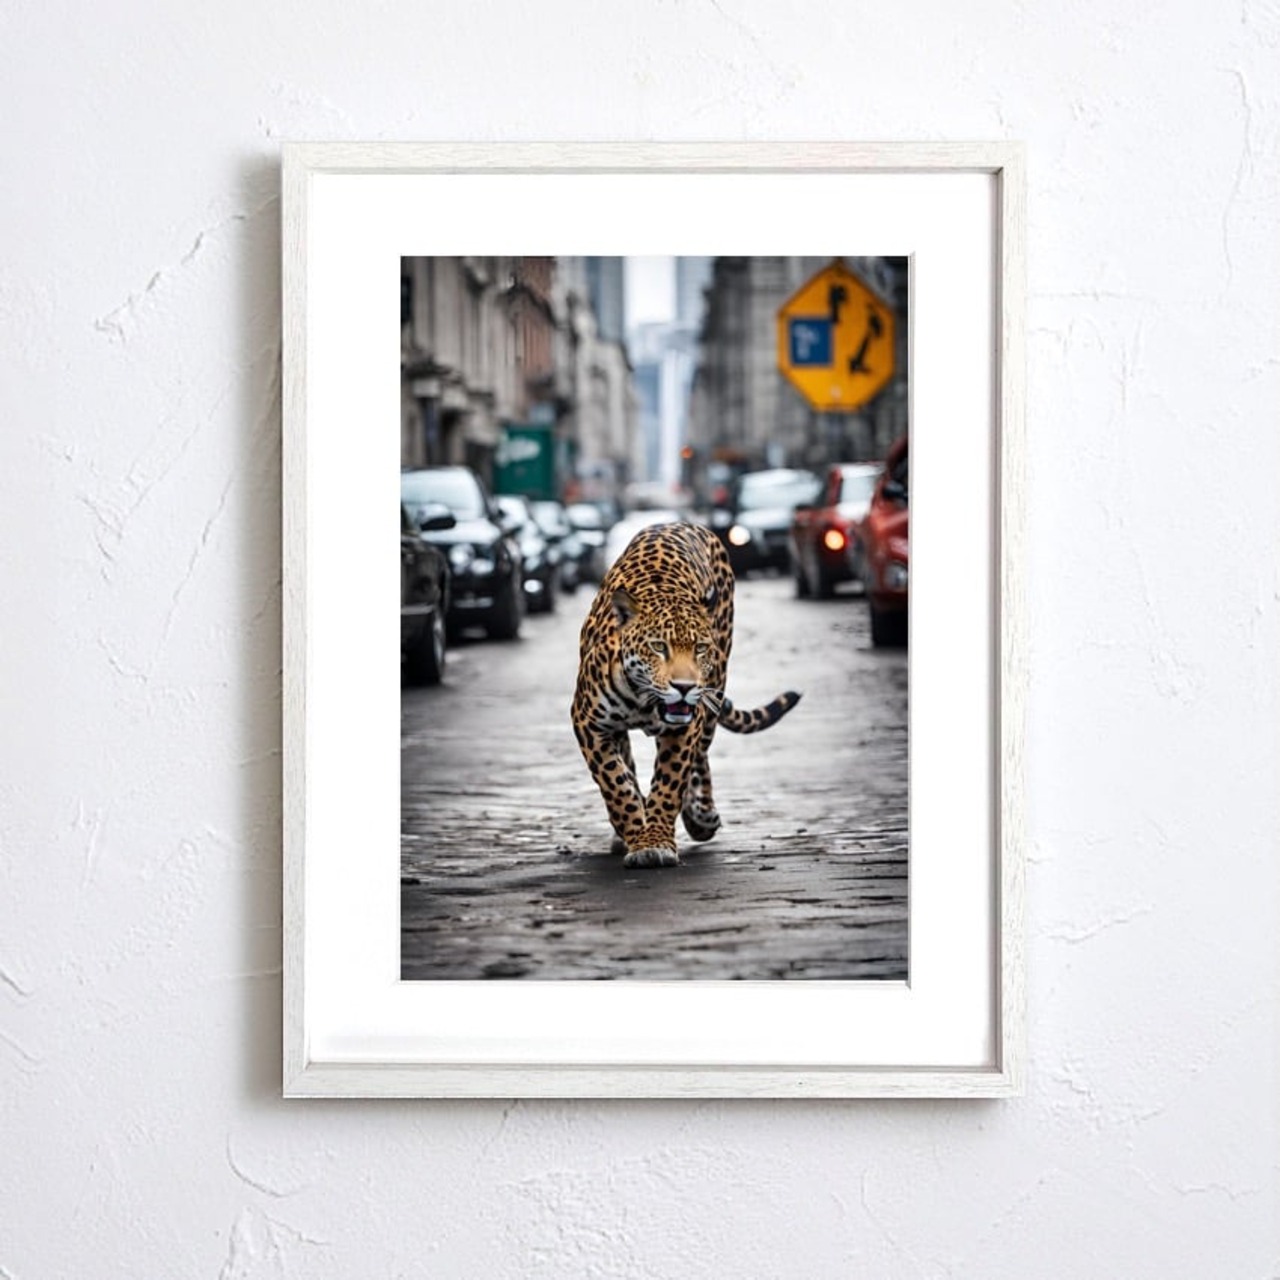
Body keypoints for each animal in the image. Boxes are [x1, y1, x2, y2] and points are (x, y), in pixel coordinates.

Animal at [571, 520, 801, 868]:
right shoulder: (589, 723)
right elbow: (616, 784)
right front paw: (635, 833)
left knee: (700, 756)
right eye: (658, 647)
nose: (684, 687)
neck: (644, 700)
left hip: (713, 695)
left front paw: (656, 841)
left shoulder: (684, 725)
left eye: (700, 649)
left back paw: (701, 817)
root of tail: (679, 522)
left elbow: (669, 781)